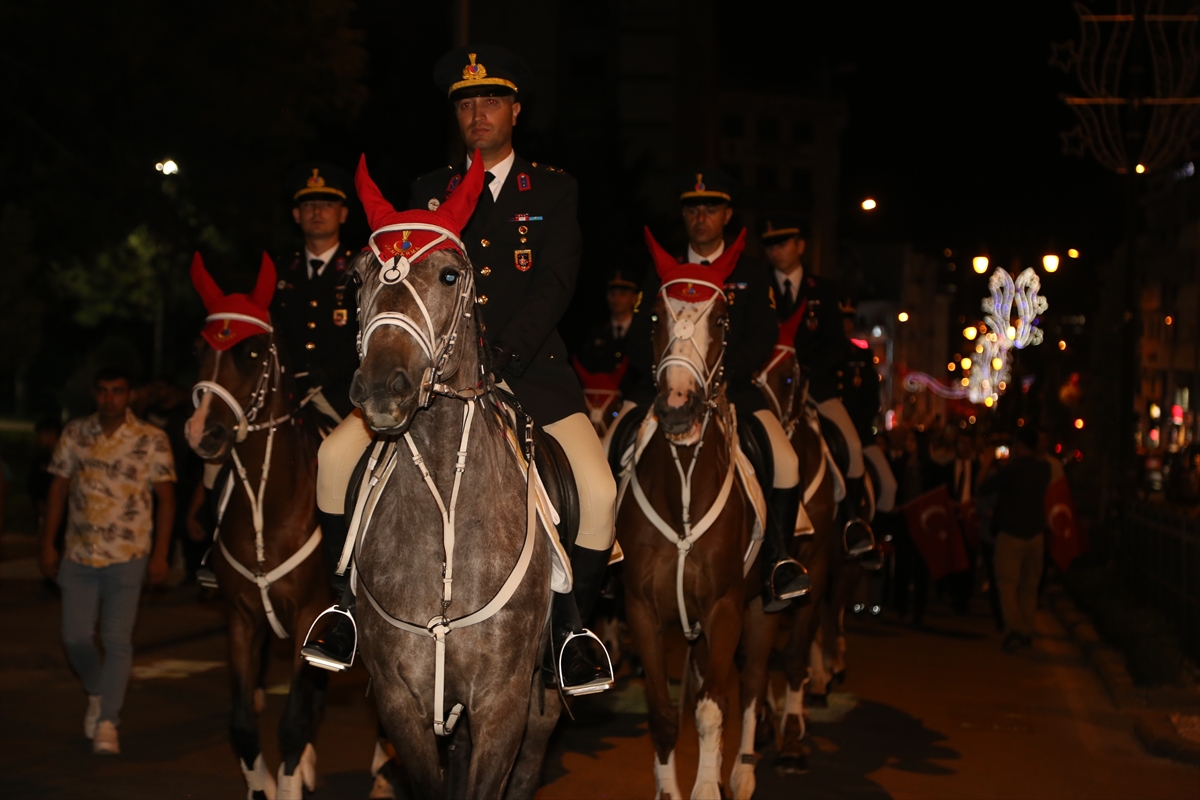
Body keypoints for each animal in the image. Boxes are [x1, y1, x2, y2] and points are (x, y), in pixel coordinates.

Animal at [182, 253, 333, 796]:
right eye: (198, 348)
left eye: (249, 353)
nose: (202, 433)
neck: (270, 508)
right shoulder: (242, 620)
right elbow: (244, 725)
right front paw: (262, 783)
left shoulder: (311, 614)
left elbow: (291, 723)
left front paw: (287, 779)